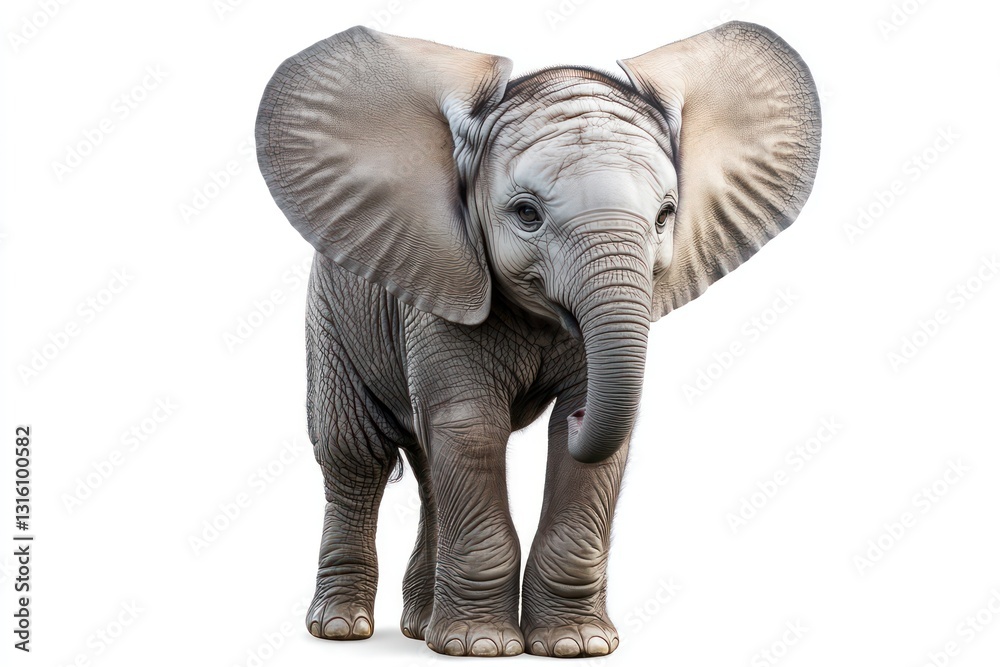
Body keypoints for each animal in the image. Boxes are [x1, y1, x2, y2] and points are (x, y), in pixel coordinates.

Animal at [255, 20, 820, 658]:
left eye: (665, 216)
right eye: (526, 213)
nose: (578, 418)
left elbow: (577, 448)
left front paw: (576, 645)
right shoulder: (444, 280)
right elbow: (471, 426)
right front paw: (479, 647)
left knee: (427, 467)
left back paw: (419, 629)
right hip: (330, 311)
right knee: (354, 456)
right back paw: (341, 629)